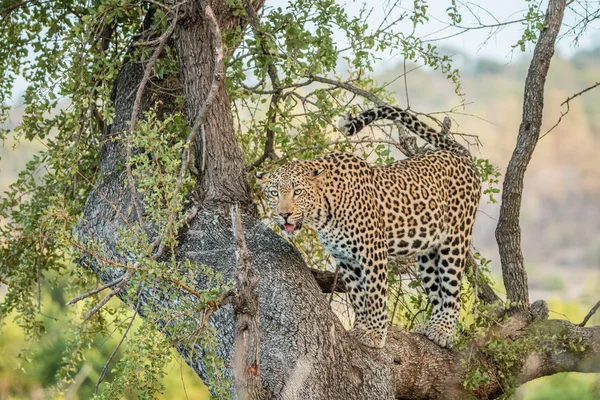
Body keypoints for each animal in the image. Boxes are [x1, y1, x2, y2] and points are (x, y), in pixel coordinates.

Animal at [255, 104, 480, 348]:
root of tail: (459, 155)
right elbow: (357, 296)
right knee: (437, 291)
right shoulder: (345, 259)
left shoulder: (373, 251)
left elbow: (374, 294)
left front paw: (375, 333)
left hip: (455, 240)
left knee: (453, 292)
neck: (324, 210)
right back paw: (429, 327)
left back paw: (443, 331)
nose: (284, 214)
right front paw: (361, 327)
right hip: (428, 250)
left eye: (297, 192)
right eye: (274, 193)